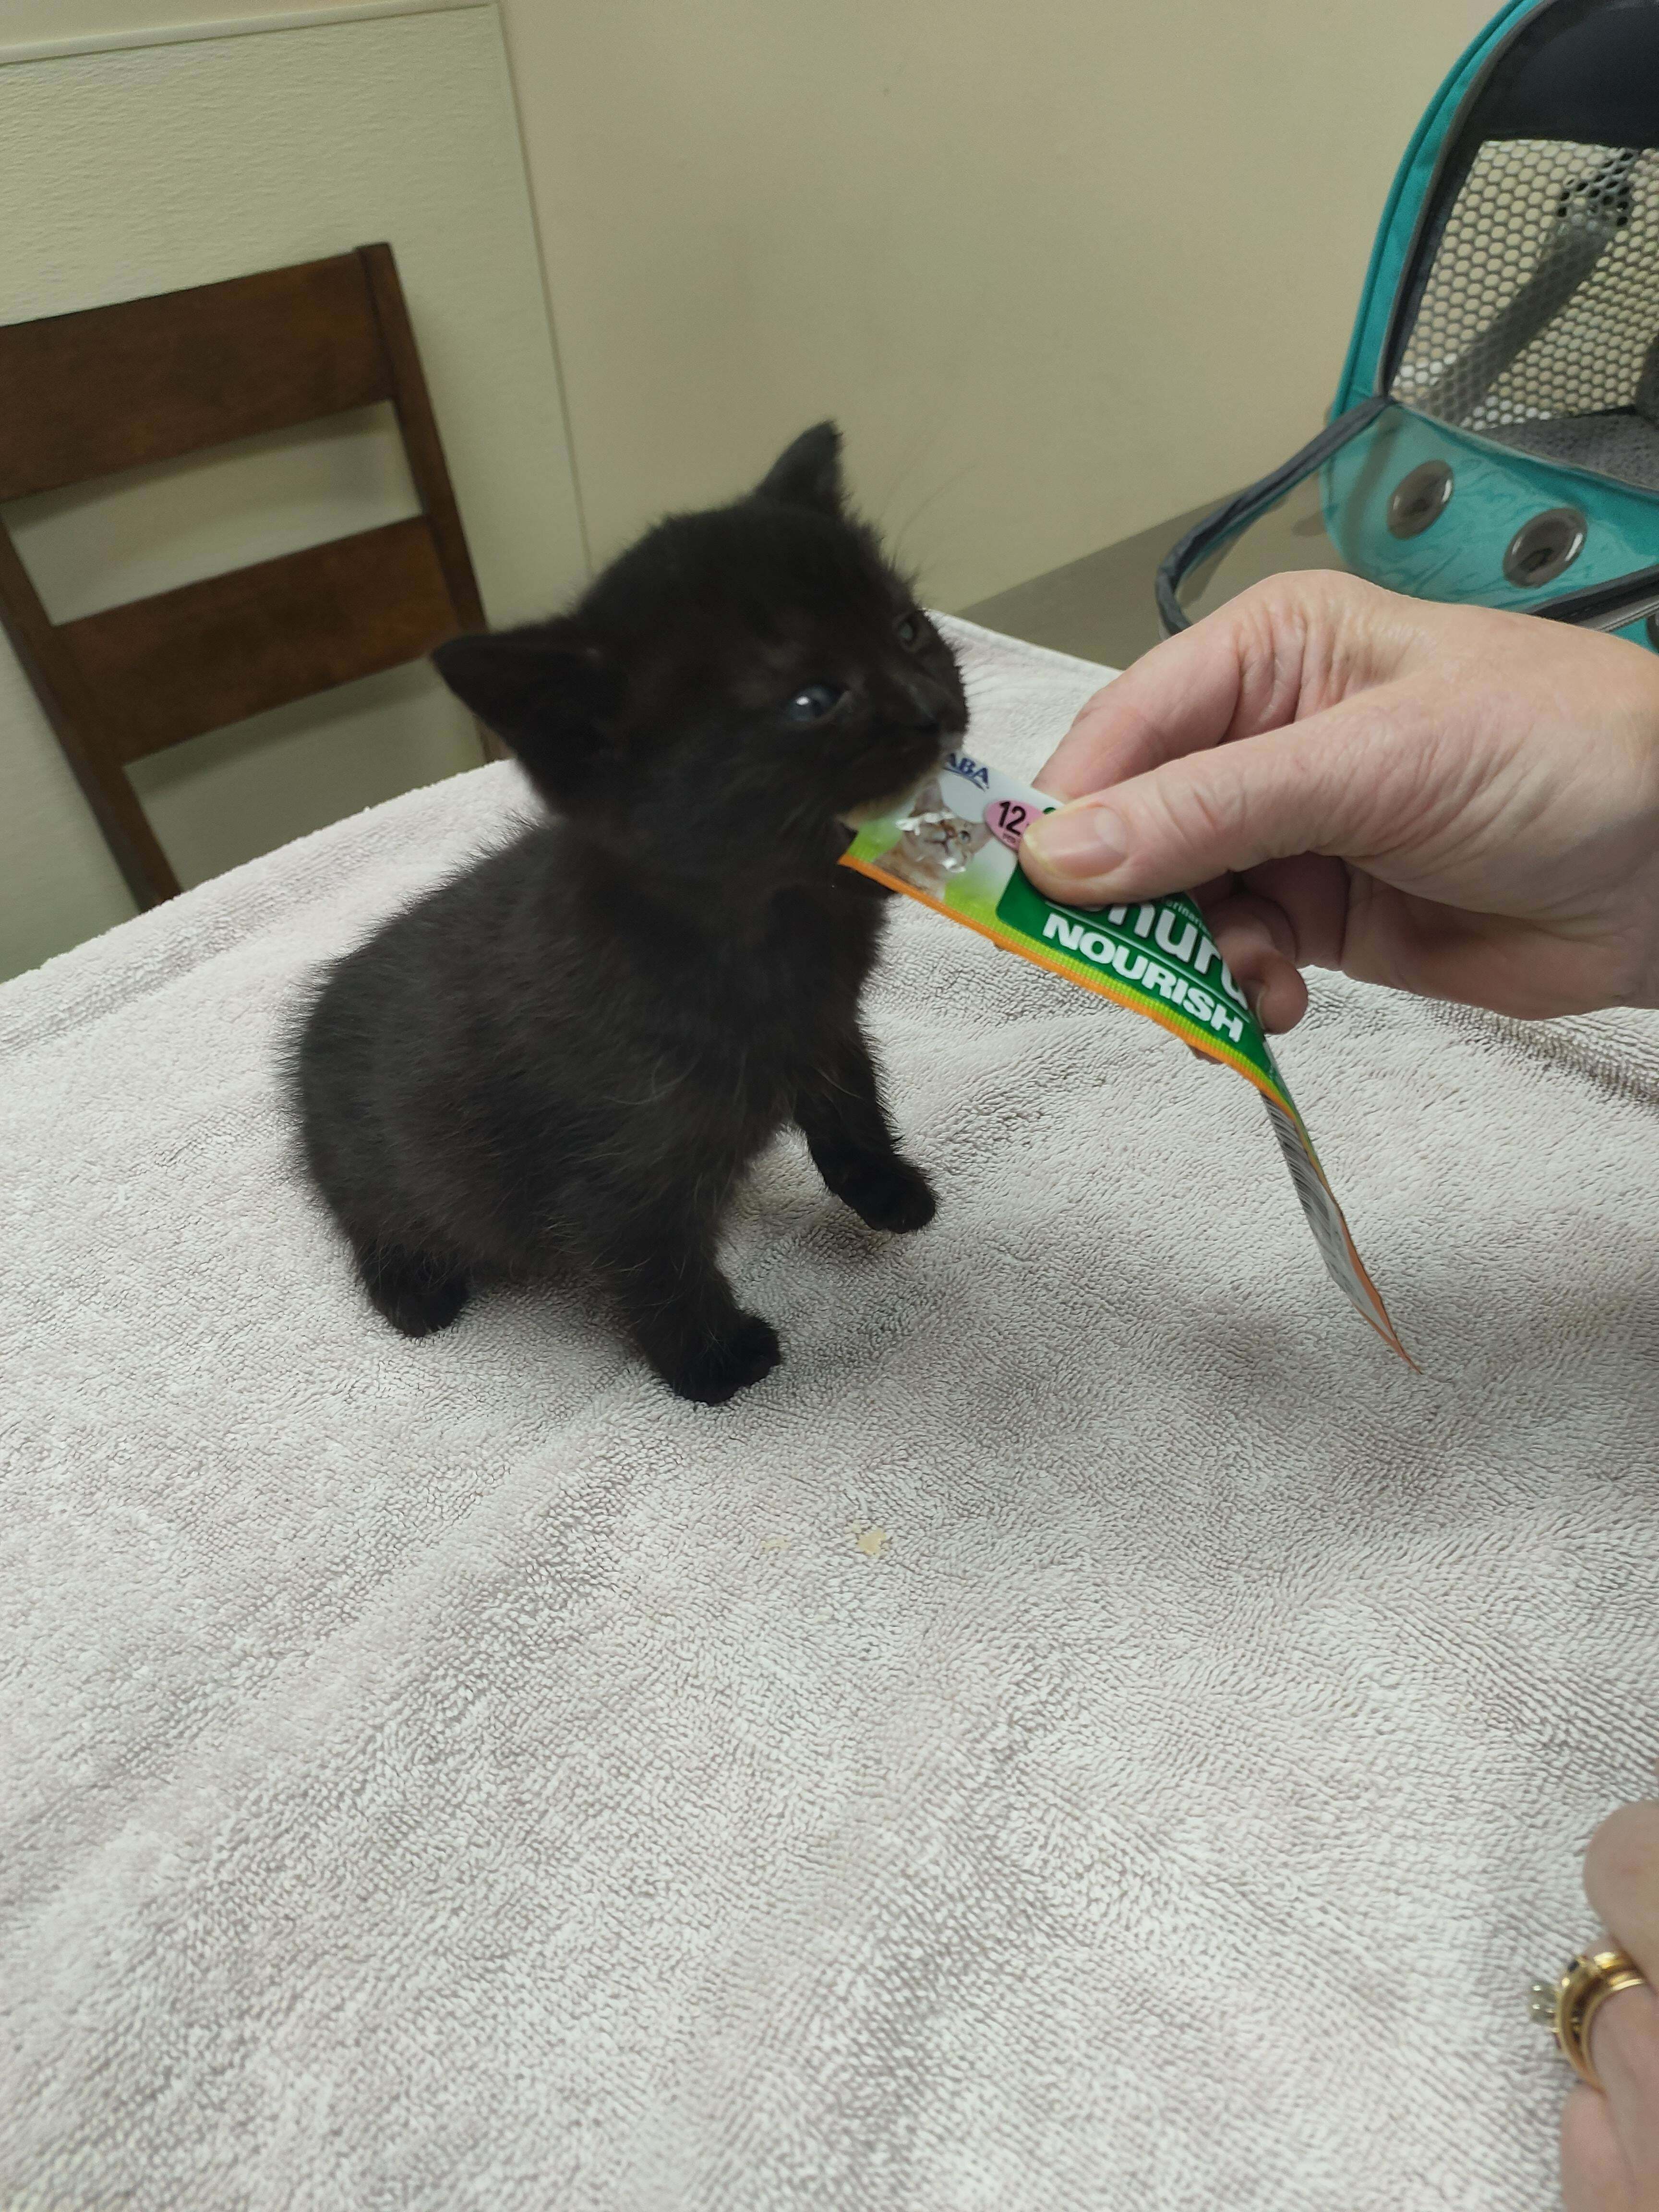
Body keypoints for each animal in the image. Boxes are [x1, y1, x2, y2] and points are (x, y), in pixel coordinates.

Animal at [292, 418, 969, 1398]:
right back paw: (411, 1293)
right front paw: (712, 1362)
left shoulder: (828, 1030)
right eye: (812, 699)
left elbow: (850, 1103)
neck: (770, 927)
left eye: (909, 627)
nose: (931, 707)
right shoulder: (616, 1169)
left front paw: (884, 1188)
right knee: (376, 1217)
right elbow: (654, 1262)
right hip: (375, 1167)